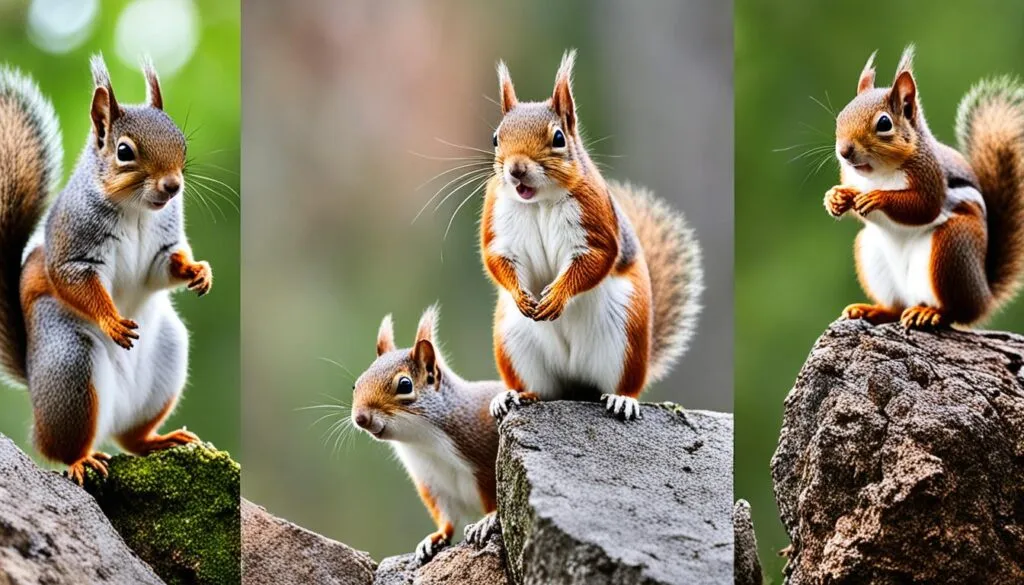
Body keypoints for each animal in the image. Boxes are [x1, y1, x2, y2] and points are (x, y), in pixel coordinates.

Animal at [0, 56, 211, 484]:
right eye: (124, 151)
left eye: (181, 142)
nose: (173, 186)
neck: (136, 211)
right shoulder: (75, 249)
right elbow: (74, 282)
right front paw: (112, 320)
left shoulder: (161, 250)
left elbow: (165, 268)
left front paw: (199, 270)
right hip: (70, 366)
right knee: (59, 448)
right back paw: (81, 460)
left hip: (168, 353)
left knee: (130, 438)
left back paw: (158, 441)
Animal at [351, 306, 505, 563]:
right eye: (356, 384)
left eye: (405, 385)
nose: (360, 418)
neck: (425, 442)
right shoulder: (431, 482)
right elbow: (446, 517)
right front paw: (434, 538)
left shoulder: (485, 462)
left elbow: (494, 498)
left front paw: (488, 519)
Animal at [480, 50, 703, 421]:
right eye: (496, 138)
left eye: (558, 138)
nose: (516, 169)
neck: (539, 201)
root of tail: (575, 384)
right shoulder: (497, 218)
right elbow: (497, 258)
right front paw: (523, 296)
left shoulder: (595, 221)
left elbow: (597, 259)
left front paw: (556, 296)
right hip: (513, 339)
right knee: (542, 389)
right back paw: (514, 396)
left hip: (626, 336)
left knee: (620, 384)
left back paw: (621, 399)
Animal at [825, 46, 1024, 330]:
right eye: (841, 117)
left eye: (884, 123)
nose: (844, 151)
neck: (879, 173)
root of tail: (983, 296)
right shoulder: (851, 176)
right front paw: (836, 197)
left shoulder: (930, 176)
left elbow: (924, 208)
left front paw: (877, 198)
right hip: (872, 252)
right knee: (896, 308)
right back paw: (872, 310)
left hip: (952, 249)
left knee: (955, 312)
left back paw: (930, 313)